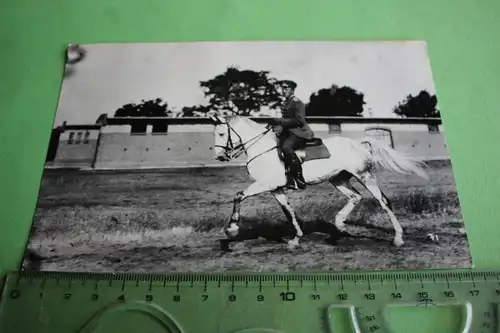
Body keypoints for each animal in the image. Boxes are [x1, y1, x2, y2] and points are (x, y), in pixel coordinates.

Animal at [209, 114, 428, 246]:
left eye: (221, 133)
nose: (219, 157)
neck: (262, 149)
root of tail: (357, 143)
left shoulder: (266, 184)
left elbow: (239, 195)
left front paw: (232, 229)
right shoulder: (276, 188)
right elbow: (288, 211)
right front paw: (296, 239)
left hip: (364, 175)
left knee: (383, 201)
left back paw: (398, 238)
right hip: (338, 179)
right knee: (355, 197)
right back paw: (340, 226)